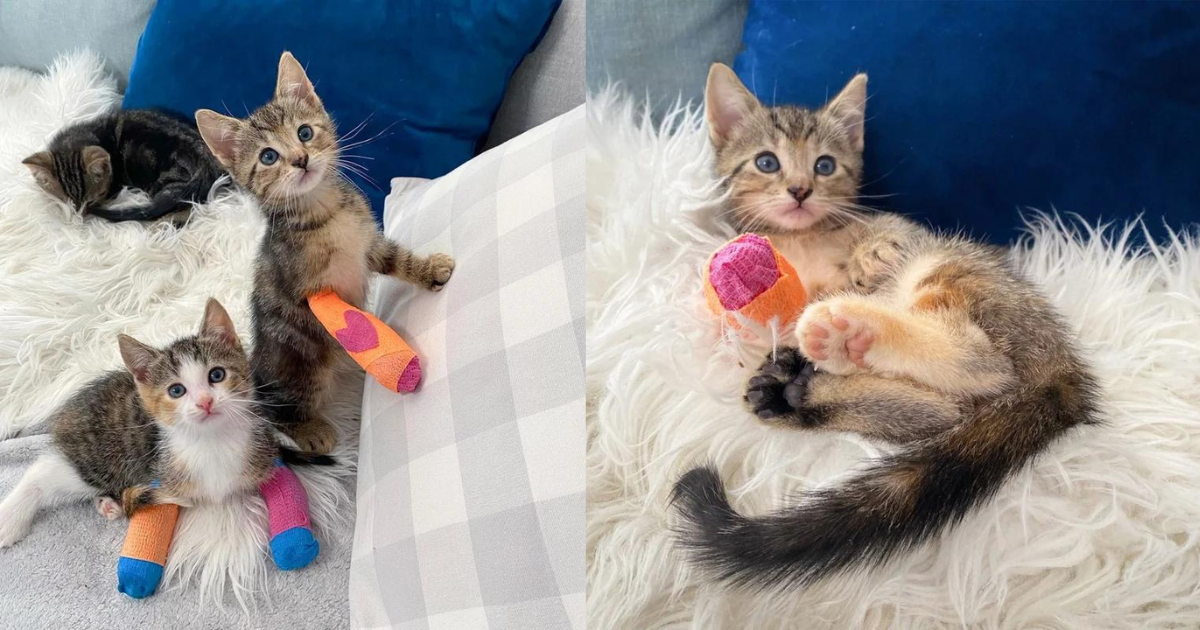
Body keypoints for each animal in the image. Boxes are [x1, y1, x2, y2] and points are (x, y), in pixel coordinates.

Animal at [0, 300, 278, 544]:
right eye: (176, 390)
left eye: (217, 375)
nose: (205, 402)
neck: (211, 441)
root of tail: (65, 412)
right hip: (99, 458)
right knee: (42, 473)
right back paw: (10, 520)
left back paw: (108, 504)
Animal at [194, 50, 456, 451]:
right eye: (268, 156)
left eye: (304, 132)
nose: (300, 159)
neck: (325, 213)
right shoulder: (308, 291)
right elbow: (345, 316)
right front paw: (374, 340)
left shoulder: (368, 243)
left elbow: (396, 259)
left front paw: (429, 270)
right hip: (303, 360)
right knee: (278, 411)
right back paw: (309, 429)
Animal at [672, 62, 1099, 585]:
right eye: (767, 162)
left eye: (825, 166)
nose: (800, 190)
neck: (805, 241)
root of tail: (1063, 370)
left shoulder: (907, 233)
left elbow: (889, 231)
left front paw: (872, 249)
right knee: (944, 411)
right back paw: (799, 387)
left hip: (950, 266)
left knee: (981, 368)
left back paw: (849, 333)